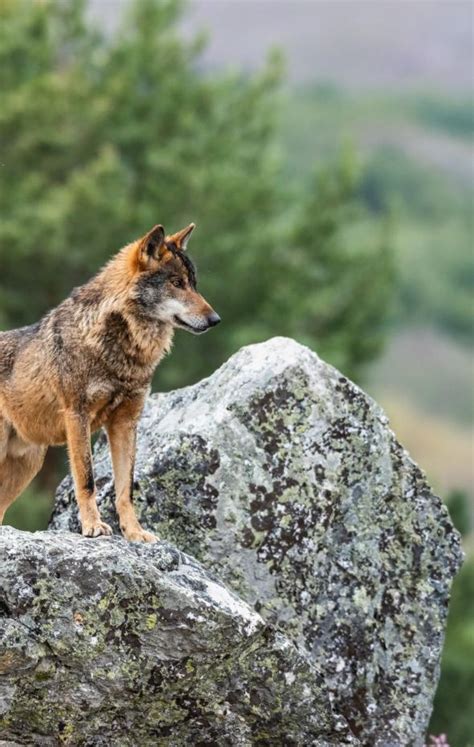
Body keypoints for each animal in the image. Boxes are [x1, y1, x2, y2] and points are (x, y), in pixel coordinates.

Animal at [0, 224, 218, 544]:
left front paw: (134, 532)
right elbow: (87, 480)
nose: (215, 319)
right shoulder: (77, 416)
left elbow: (125, 489)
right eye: (177, 283)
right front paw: (93, 526)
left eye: (194, 283)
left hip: (26, 466)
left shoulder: (125, 423)